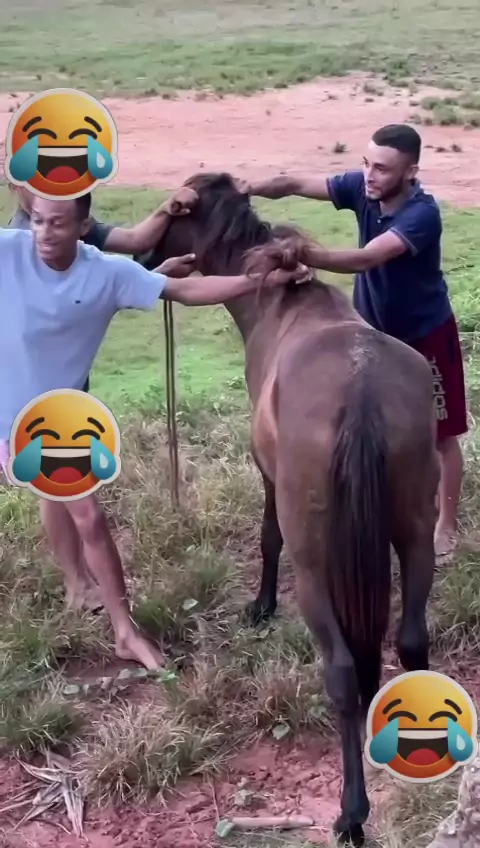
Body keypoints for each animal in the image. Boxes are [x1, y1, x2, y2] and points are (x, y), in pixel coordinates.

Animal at [140, 172, 440, 846]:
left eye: (172, 213)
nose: (142, 255)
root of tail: (361, 392)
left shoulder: (267, 473)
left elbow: (268, 536)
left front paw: (260, 605)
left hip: (318, 567)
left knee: (344, 674)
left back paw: (352, 813)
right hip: (417, 536)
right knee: (411, 642)